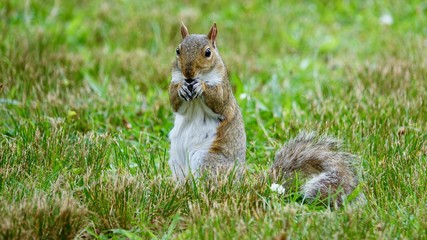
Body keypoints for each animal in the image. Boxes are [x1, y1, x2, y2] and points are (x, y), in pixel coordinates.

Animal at [167, 22, 362, 206]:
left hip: (206, 161)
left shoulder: (223, 90)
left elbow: (218, 100)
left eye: (208, 52)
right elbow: (174, 101)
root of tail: (239, 183)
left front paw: (202, 87)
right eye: (177, 50)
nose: (188, 73)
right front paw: (181, 88)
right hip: (177, 162)